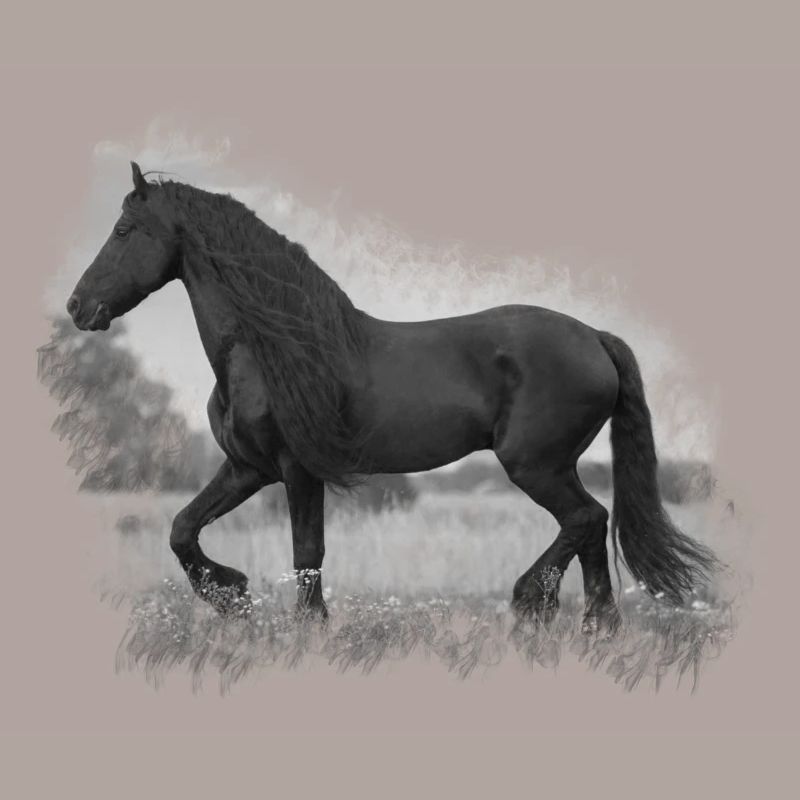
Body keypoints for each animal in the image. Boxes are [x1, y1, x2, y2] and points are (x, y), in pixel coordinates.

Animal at [66, 162, 718, 634]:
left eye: (123, 231)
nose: (77, 307)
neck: (271, 348)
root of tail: (594, 337)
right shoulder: (247, 468)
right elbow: (183, 528)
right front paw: (232, 596)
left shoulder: (297, 470)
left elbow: (308, 551)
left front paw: (308, 626)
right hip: (554, 465)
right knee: (590, 527)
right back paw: (597, 628)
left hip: (534, 464)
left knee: (586, 519)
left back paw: (532, 601)